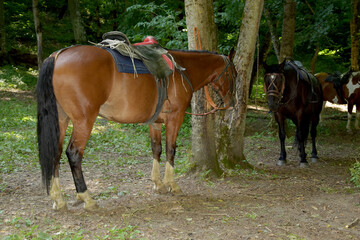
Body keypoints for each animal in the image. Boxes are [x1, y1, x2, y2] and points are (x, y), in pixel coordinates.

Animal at [36, 45, 236, 210]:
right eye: (233, 74)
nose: (232, 104)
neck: (182, 70)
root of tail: (57, 56)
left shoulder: (156, 122)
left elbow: (156, 149)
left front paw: (158, 184)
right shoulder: (175, 118)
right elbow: (171, 150)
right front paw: (172, 184)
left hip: (61, 121)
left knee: (56, 153)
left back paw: (58, 199)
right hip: (84, 121)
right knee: (74, 154)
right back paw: (86, 197)